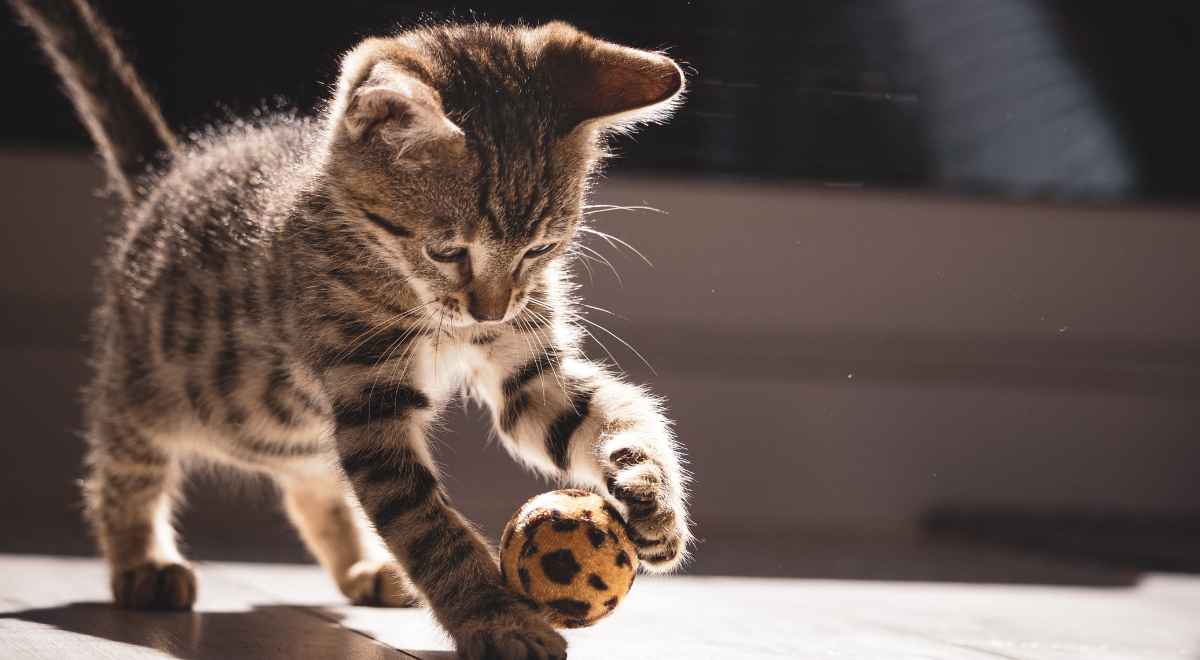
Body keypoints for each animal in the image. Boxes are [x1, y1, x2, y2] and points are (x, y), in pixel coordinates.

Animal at [14, 0, 696, 657]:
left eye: (541, 249)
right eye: (448, 251)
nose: (491, 311)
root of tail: (168, 178)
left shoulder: (527, 373)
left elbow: (606, 413)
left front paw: (651, 495)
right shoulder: (369, 398)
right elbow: (425, 523)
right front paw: (496, 618)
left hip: (295, 429)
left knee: (313, 484)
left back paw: (365, 568)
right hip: (149, 388)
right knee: (122, 465)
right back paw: (142, 562)